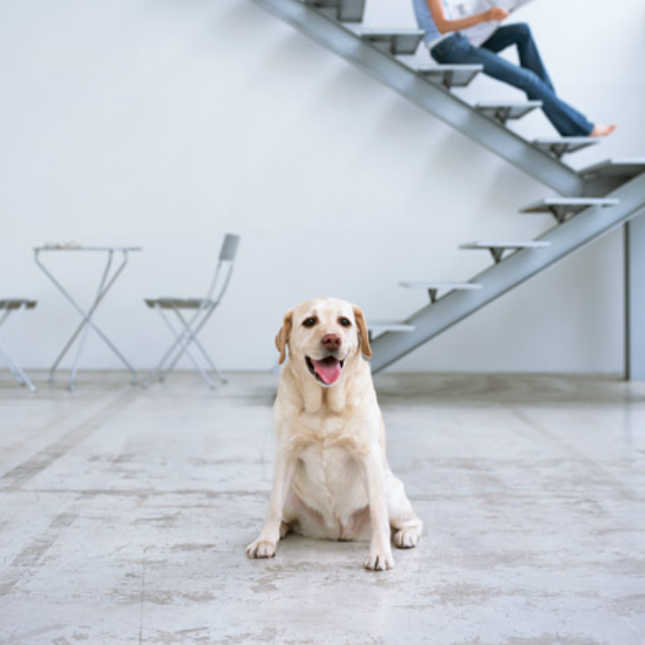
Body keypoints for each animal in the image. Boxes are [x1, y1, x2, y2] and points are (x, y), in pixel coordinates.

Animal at [246, 297, 422, 570]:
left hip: (392, 493)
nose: (332, 339)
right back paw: (280, 532)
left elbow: (378, 513)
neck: (324, 405)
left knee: (412, 521)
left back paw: (406, 535)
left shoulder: (368, 456)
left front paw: (380, 553)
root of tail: (337, 531)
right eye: (309, 321)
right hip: (292, 498)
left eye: (344, 322)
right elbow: (273, 505)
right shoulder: (286, 452)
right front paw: (265, 540)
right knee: (284, 515)